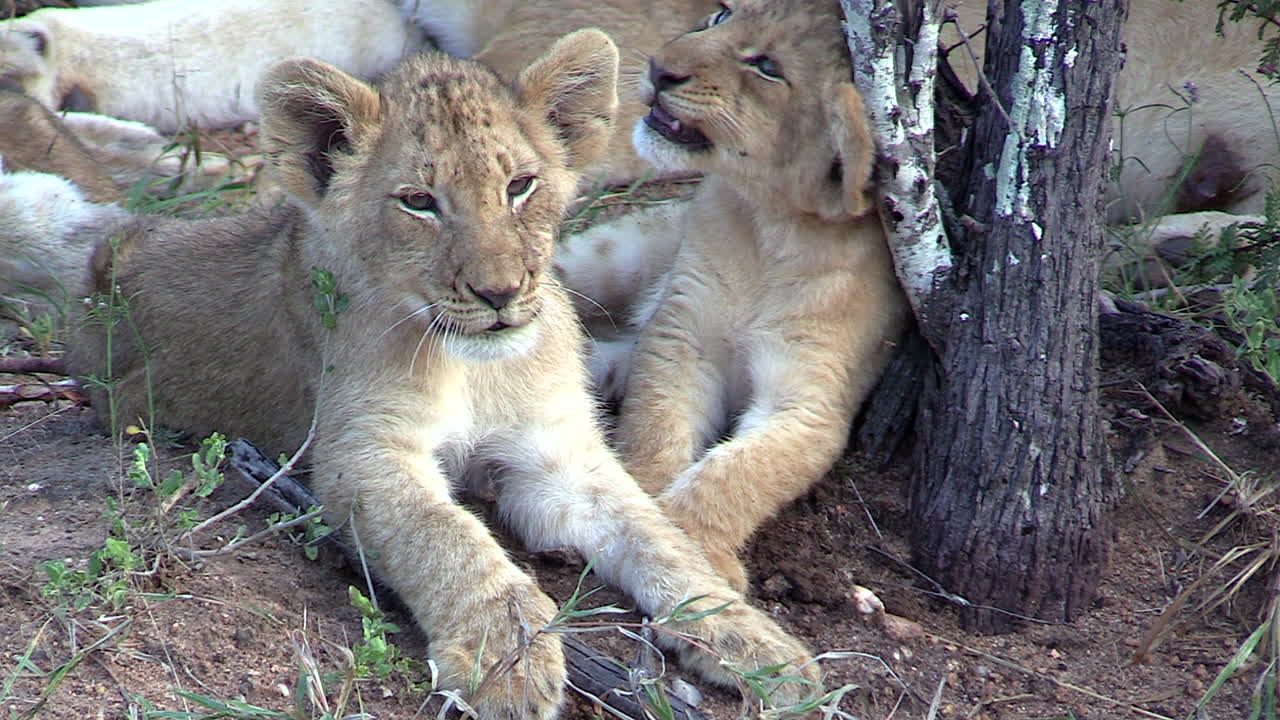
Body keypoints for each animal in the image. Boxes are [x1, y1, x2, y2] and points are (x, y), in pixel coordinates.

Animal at [61, 34, 821, 718]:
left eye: (520, 186)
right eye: (419, 202)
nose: (500, 293)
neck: (477, 369)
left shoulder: (562, 459)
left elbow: (660, 540)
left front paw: (758, 646)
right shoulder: (362, 452)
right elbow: (448, 539)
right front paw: (505, 661)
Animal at [553, 0, 911, 591]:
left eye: (767, 67)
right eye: (721, 15)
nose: (660, 68)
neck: (774, 233)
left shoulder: (810, 401)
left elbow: (739, 472)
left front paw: (692, 545)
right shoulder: (682, 335)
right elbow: (656, 428)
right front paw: (651, 515)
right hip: (611, 257)